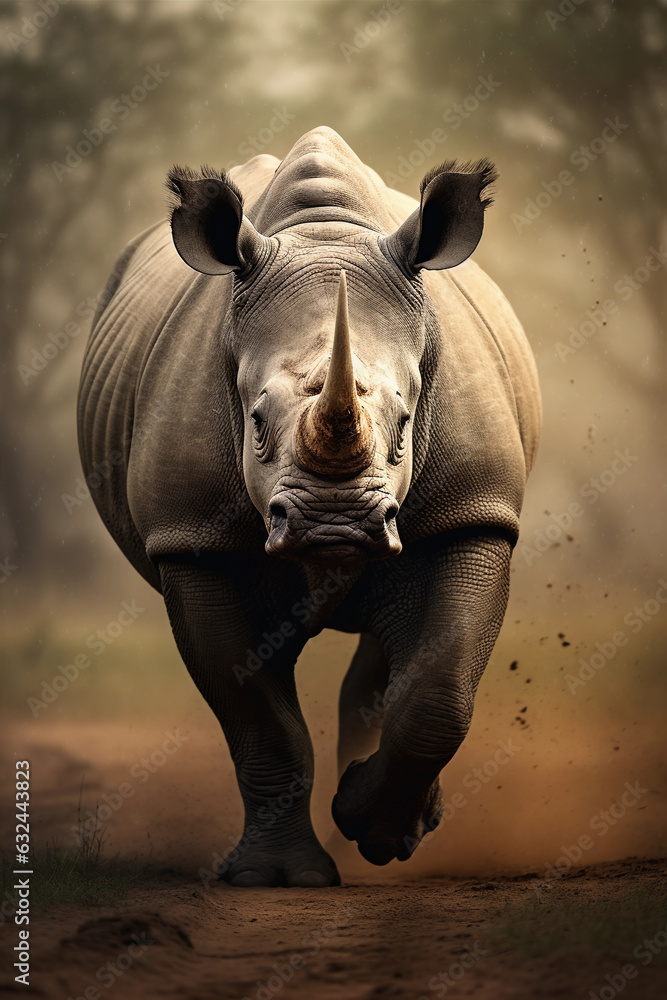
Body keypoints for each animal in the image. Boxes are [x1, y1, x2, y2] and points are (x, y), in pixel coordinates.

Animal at [78, 126, 541, 887]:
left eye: (406, 422)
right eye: (256, 423)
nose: (335, 525)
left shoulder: (472, 513)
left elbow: (442, 688)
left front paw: (374, 829)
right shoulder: (194, 539)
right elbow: (255, 714)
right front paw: (277, 878)